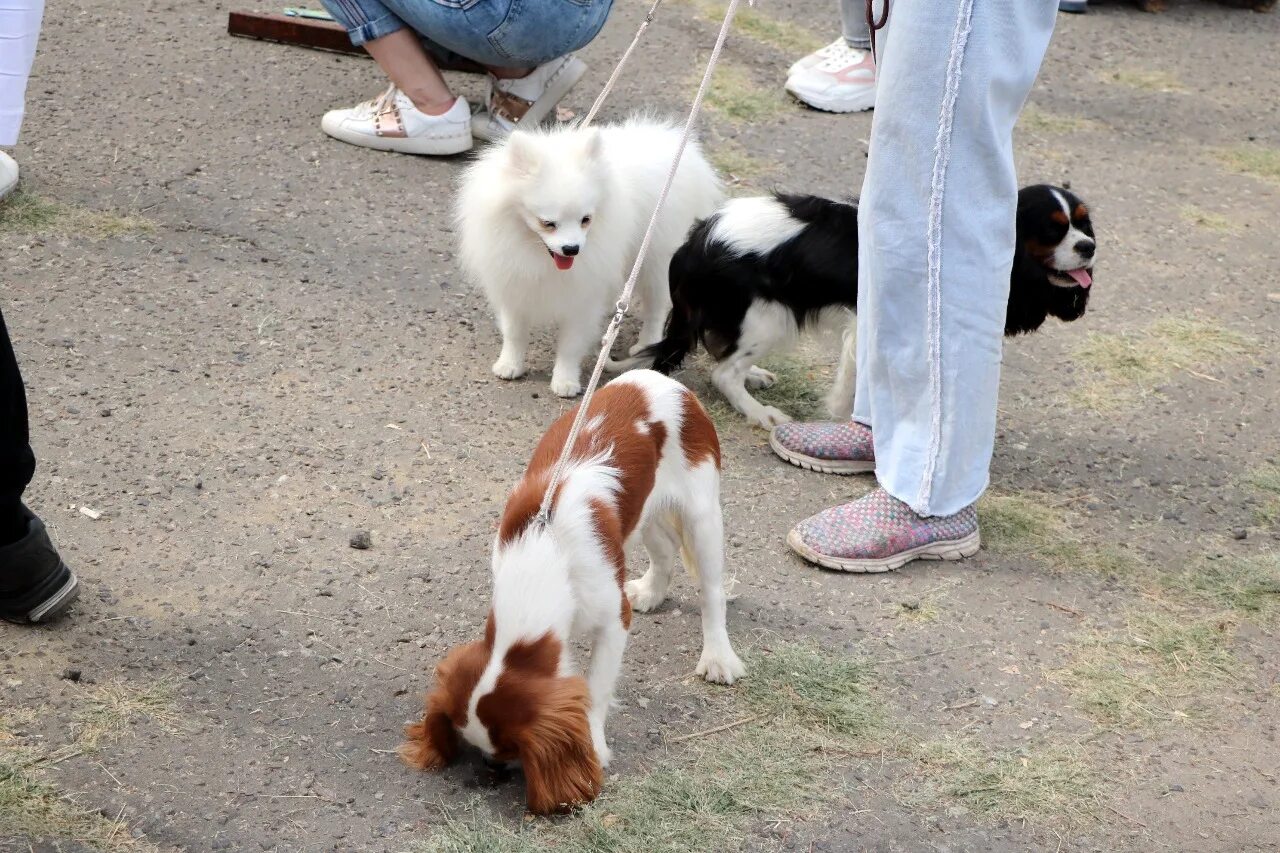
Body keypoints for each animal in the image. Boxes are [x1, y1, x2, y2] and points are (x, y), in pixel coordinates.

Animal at [394, 368, 747, 814]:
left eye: (510, 750)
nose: (490, 771)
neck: (544, 549)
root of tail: (662, 379)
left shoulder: (613, 620)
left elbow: (596, 689)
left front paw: (593, 747)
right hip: (642, 509)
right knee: (664, 547)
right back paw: (651, 592)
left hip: (702, 514)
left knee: (711, 590)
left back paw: (718, 657)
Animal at [458, 117, 721, 397]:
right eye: (548, 223)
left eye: (586, 220)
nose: (572, 248)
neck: (536, 253)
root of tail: (675, 146)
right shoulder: (513, 286)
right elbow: (514, 332)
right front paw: (510, 364)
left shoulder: (583, 297)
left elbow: (571, 343)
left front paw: (565, 381)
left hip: (654, 258)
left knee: (657, 305)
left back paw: (646, 343)